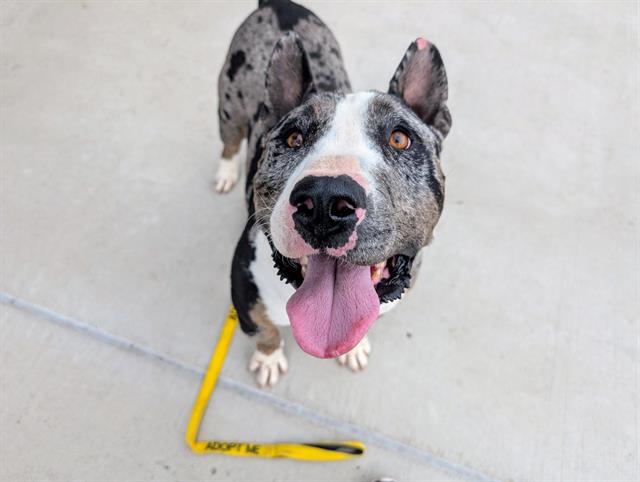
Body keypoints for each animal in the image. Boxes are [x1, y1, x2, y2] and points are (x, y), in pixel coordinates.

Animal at [215, 0, 450, 386]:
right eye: (294, 137)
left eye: (400, 139)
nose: (325, 201)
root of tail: (278, 5)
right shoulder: (245, 292)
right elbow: (265, 330)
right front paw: (268, 358)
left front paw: (353, 349)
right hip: (229, 105)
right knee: (230, 140)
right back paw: (225, 171)